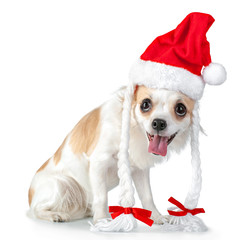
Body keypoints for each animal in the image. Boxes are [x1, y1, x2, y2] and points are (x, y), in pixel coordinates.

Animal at [27, 85, 195, 224]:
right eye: (145, 104)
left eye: (180, 109)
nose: (159, 123)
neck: (133, 129)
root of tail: (30, 195)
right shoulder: (99, 163)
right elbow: (102, 197)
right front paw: (101, 220)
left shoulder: (140, 171)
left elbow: (147, 195)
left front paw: (156, 216)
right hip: (62, 185)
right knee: (35, 210)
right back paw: (55, 215)